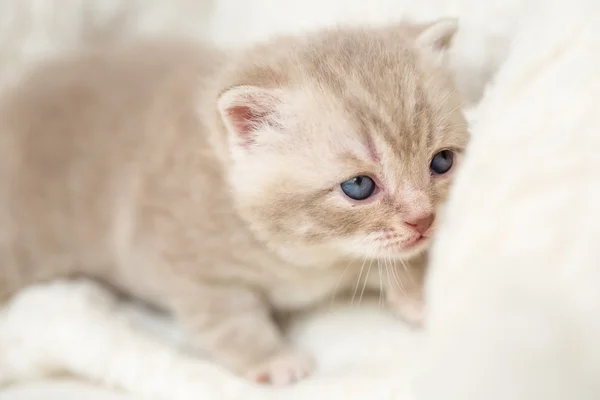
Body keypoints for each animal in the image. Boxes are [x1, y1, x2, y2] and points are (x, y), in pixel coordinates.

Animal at [0, 18, 468, 384]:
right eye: (358, 186)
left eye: (442, 161)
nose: (423, 219)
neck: (311, 256)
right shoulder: (187, 265)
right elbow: (229, 319)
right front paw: (274, 359)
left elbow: (398, 261)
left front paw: (421, 296)